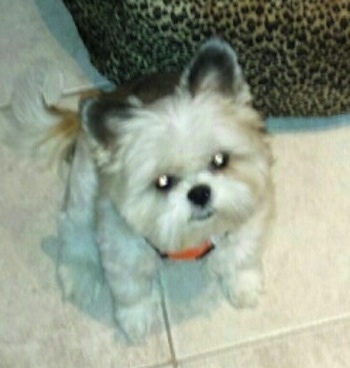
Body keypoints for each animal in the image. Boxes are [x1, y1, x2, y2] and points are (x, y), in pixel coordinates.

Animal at [2, 38, 274, 342]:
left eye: (220, 160)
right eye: (163, 182)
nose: (200, 193)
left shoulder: (250, 212)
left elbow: (241, 254)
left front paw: (243, 284)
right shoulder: (120, 242)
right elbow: (131, 287)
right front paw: (136, 318)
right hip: (84, 184)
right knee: (74, 230)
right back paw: (81, 274)